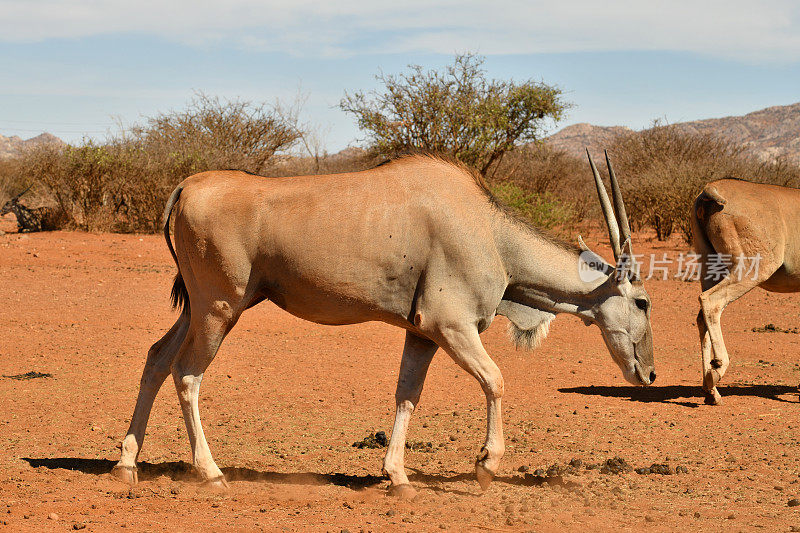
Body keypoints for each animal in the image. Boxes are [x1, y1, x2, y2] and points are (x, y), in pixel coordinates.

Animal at [112, 150, 652, 494]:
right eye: (644, 302)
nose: (648, 373)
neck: (491, 233)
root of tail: (188, 186)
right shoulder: (450, 328)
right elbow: (496, 380)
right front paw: (484, 467)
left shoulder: (421, 335)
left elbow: (406, 395)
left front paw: (398, 477)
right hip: (219, 309)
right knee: (187, 373)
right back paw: (210, 472)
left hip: (199, 309)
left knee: (157, 358)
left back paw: (126, 464)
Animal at [692, 179, 800, 404]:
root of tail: (711, 188)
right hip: (751, 270)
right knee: (710, 301)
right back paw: (717, 369)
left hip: (711, 269)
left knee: (701, 317)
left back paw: (711, 391)